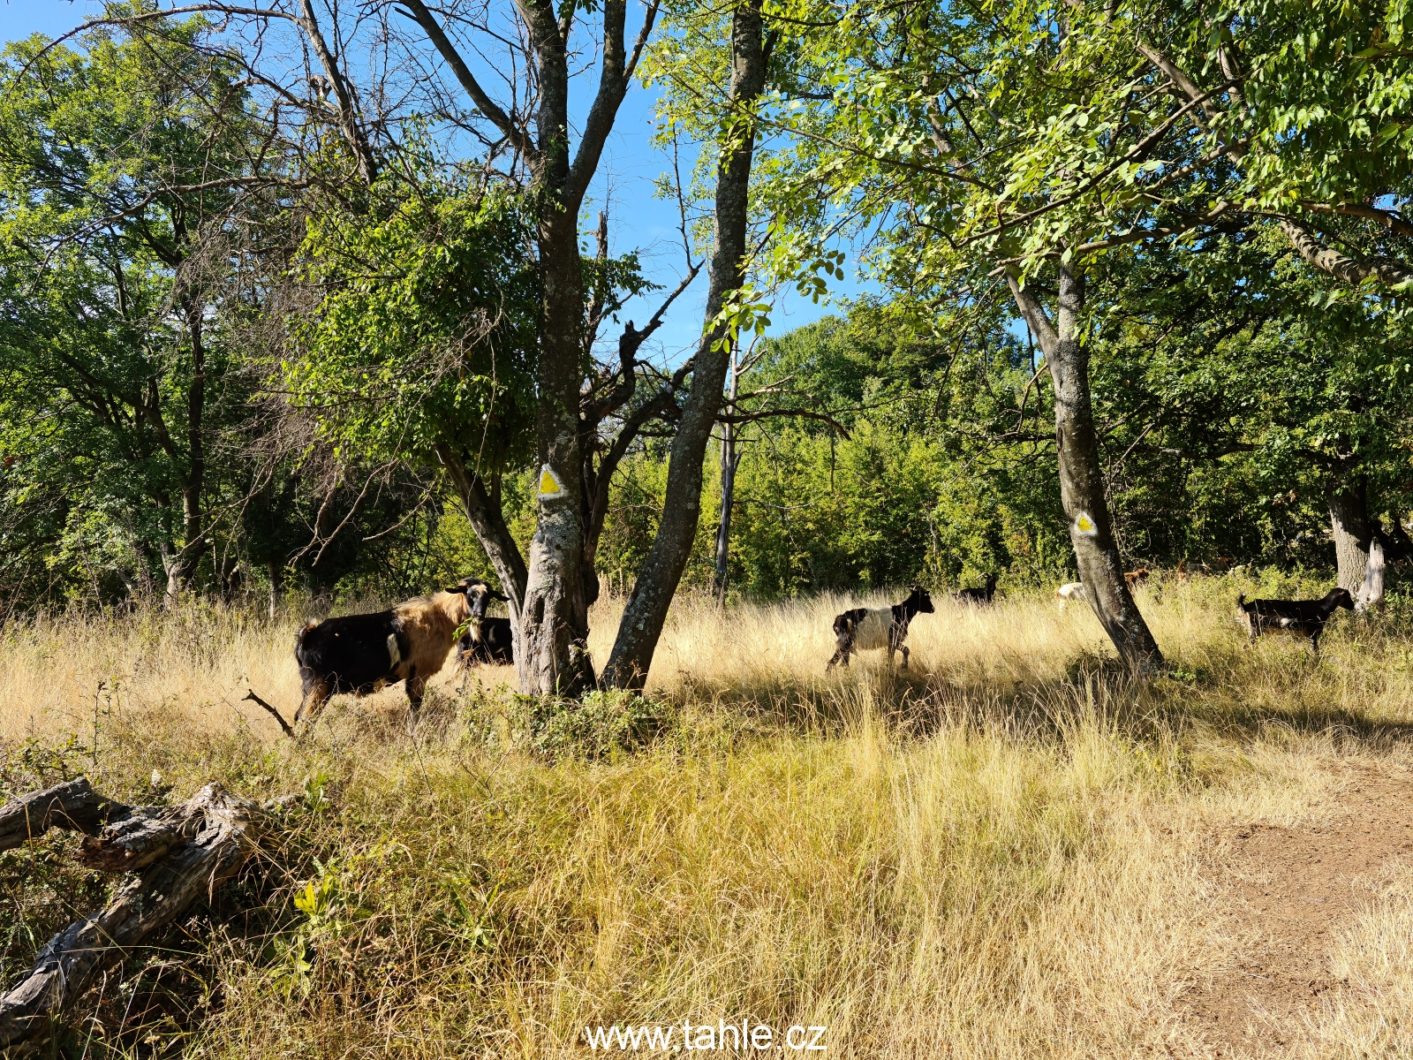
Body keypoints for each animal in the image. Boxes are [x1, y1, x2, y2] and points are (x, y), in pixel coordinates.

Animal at [293, 576, 480, 734]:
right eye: (470, 595)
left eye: (486, 597)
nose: (479, 615)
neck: (440, 617)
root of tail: (308, 635)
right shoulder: (419, 674)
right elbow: (415, 708)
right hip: (318, 686)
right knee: (305, 718)